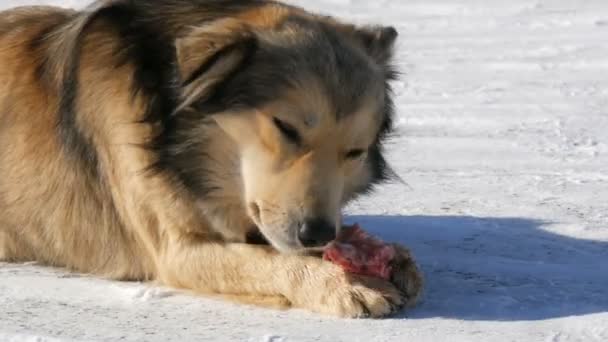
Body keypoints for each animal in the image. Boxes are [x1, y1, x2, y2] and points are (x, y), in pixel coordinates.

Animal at [0, 0, 422, 318]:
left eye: (353, 152)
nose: (317, 234)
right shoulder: (177, 251)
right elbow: (268, 260)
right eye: (286, 128)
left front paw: (391, 258)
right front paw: (342, 284)